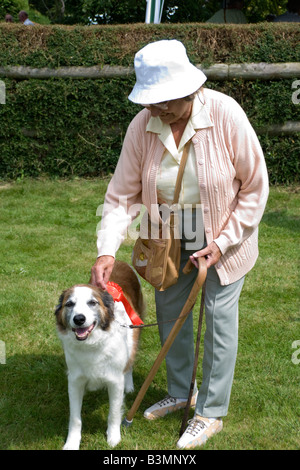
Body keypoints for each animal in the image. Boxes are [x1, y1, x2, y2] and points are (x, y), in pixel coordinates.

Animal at [56, 262, 145, 450]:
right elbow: (75, 418)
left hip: (135, 333)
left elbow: (114, 413)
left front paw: (113, 437)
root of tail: (120, 262)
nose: (79, 319)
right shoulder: (74, 381)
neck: (92, 344)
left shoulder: (115, 381)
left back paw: (129, 385)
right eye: (69, 304)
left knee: (130, 362)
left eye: (92, 303)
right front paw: (72, 442)